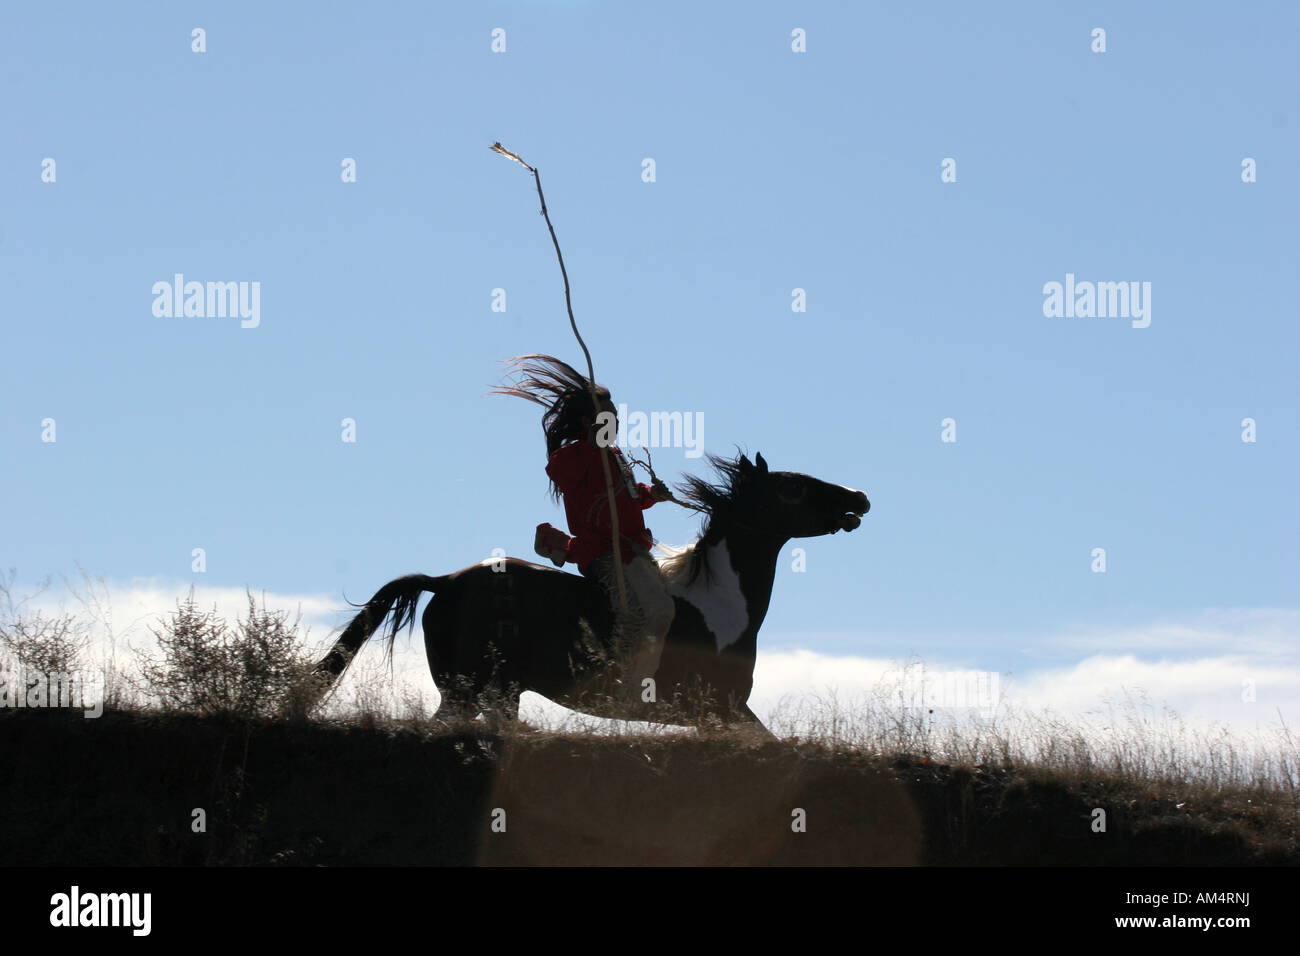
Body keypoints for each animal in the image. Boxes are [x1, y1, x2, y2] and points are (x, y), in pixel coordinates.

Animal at [309, 452, 868, 738]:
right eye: (793, 487)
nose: (859, 497)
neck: (719, 605)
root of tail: (443, 581)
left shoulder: (726, 713)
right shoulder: (720, 709)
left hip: (487, 693)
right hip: (474, 692)